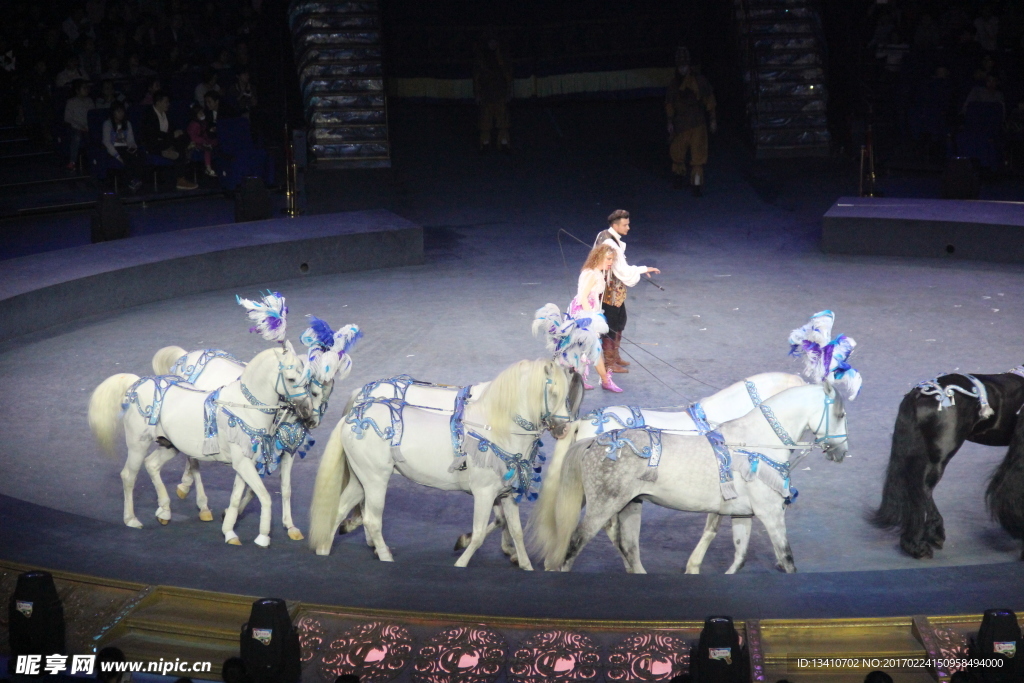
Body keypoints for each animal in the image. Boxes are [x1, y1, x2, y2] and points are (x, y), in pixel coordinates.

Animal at [92, 348, 315, 544]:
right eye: (291, 379)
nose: (307, 412)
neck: (244, 408)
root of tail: (137, 384)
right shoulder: (244, 464)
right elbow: (265, 496)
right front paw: (262, 537)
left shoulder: (246, 463)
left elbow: (237, 497)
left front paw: (229, 532)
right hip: (138, 445)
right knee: (129, 476)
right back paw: (132, 519)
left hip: (170, 446)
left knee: (152, 464)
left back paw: (164, 511)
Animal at [303, 360, 581, 569]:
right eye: (553, 392)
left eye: (569, 395)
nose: (564, 429)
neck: (495, 429)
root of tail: (355, 416)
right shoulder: (484, 493)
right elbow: (479, 534)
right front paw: (461, 560)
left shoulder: (506, 495)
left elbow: (516, 530)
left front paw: (524, 564)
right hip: (375, 480)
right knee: (372, 519)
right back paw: (384, 555)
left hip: (361, 480)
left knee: (340, 510)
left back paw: (325, 550)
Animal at [536, 382, 856, 573]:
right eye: (840, 414)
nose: (842, 451)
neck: (755, 443)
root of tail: (593, 438)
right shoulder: (771, 514)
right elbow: (787, 558)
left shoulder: (742, 514)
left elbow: (739, 555)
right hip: (602, 506)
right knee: (575, 545)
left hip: (629, 505)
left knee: (626, 545)